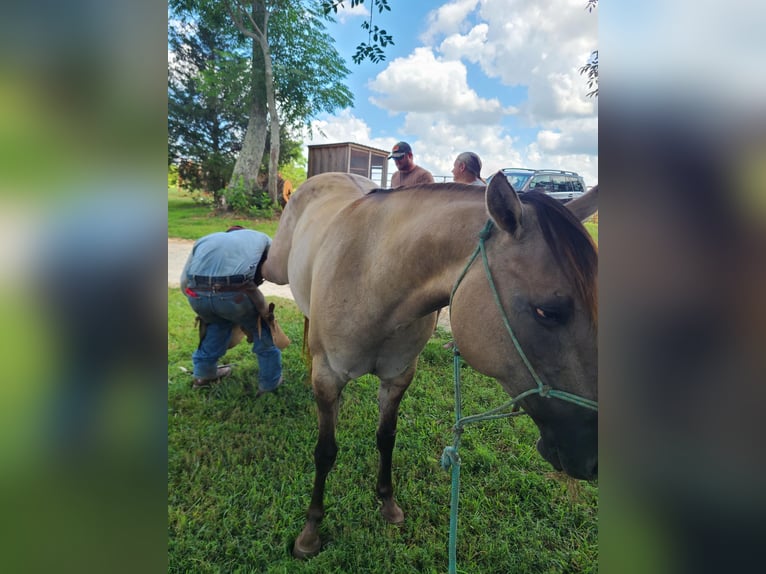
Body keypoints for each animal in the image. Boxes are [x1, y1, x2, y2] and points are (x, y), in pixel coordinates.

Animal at [264, 171, 600, 560]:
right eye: (546, 312)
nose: (593, 458)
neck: (372, 275)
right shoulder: (328, 378)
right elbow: (325, 452)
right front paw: (311, 531)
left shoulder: (397, 378)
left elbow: (386, 438)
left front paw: (387, 502)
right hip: (276, 269)